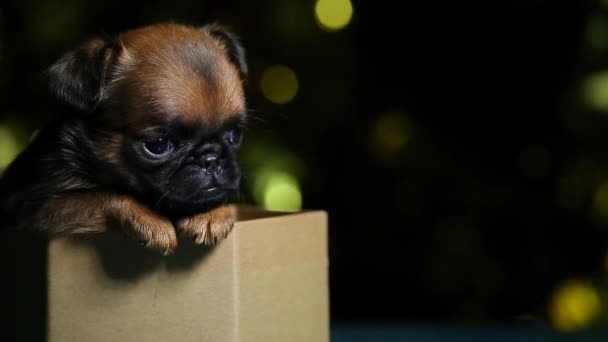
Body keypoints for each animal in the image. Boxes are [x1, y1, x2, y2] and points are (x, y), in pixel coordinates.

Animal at [0, 22, 247, 254]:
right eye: (158, 145)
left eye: (235, 134)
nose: (210, 158)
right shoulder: (39, 210)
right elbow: (104, 196)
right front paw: (150, 219)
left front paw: (212, 214)